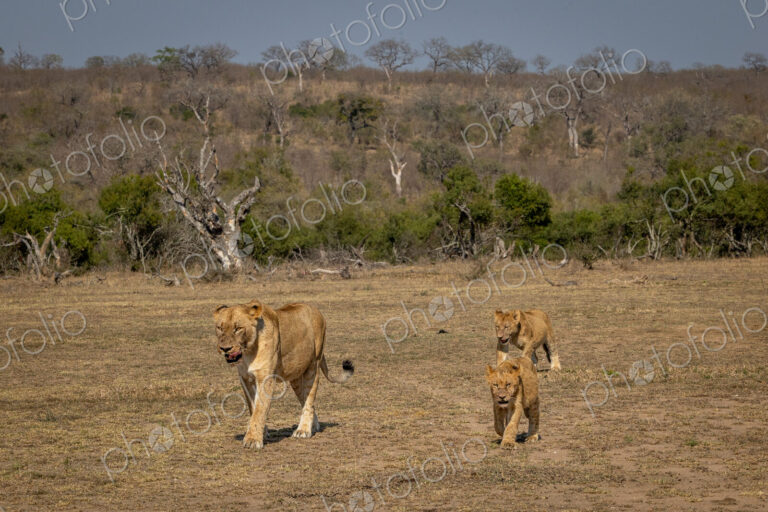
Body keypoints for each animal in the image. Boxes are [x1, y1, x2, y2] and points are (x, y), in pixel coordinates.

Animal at [213, 300, 353, 449]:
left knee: (309, 401)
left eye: (238, 328)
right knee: (304, 400)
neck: (248, 352)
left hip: (313, 366)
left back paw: (303, 430)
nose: (225, 349)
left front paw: (252, 440)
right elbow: (253, 408)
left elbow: (260, 409)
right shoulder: (245, 378)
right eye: (220, 328)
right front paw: (261, 433)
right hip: (296, 376)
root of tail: (317, 311)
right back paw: (314, 426)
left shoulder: (265, 378)